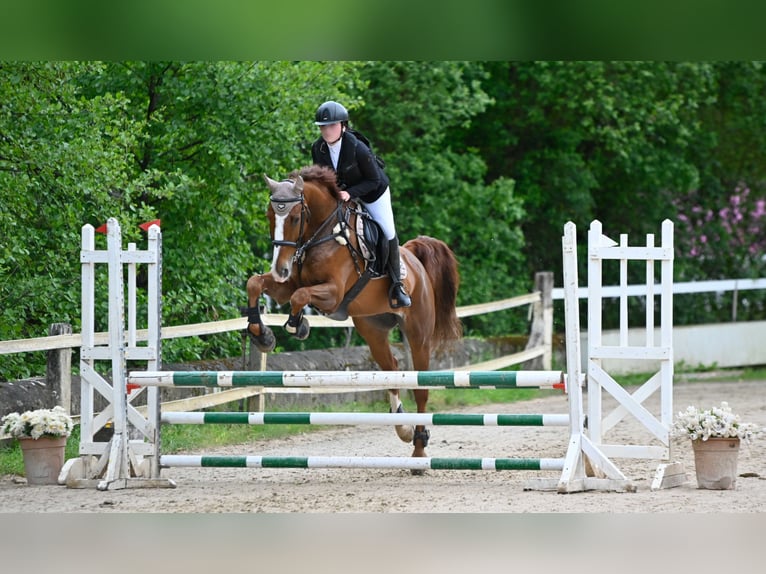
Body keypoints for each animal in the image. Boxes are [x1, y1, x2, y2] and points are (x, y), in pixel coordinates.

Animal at [246, 163, 462, 468]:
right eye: (269, 215)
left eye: (296, 217)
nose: (280, 269)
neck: (322, 233)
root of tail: (414, 259)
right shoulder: (287, 285)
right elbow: (255, 283)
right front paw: (262, 336)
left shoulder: (333, 292)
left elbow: (300, 297)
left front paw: (298, 326)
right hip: (373, 329)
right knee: (392, 369)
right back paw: (403, 427)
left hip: (418, 333)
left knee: (420, 387)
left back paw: (419, 451)